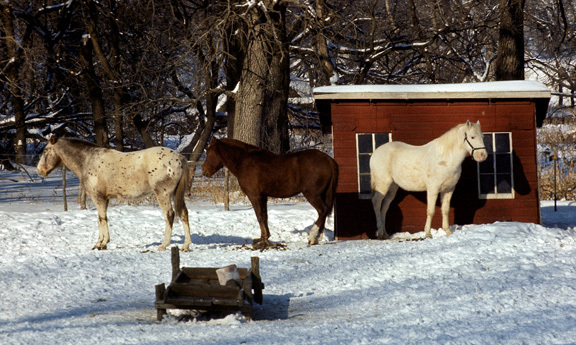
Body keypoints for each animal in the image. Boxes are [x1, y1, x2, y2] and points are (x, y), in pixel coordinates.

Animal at [37, 136, 192, 251]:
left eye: (45, 151)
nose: (40, 171)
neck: (88, 160)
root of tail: (180, 158)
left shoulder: (98, 198)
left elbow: (102, 219)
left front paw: (101, 244)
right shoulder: (105, 199)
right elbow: (102, 219)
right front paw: (101, 243)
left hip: (163, 194)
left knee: (169, 215)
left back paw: (164, 245)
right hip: (175, 194)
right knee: (183, 213)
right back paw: (185, 245)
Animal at [201, 138, 338, 247]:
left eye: (210, 153)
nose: (204, 171)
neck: (244, 161)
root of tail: (328, 159)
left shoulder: (254, 196)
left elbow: (260, 216)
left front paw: (264, 239)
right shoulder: (263, 196)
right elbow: (265, 216)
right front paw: (264, 238)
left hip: (312, 195)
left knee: (323, 210)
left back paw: (312, 237)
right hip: (322, 194)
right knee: (323, 212)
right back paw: (317, 238)